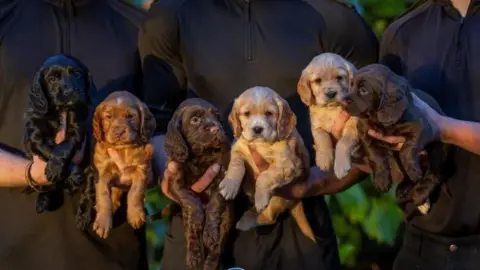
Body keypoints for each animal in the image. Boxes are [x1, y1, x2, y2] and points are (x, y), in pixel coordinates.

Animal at [24, 54, 94, 213]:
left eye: (77, 74)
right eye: (52, 79)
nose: (70, 92)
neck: (60, 110)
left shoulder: (77, 129)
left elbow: (63, 146)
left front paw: (57, 169)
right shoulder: (36, 137)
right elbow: (50, 149)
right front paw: (71, 173)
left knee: (88, 191)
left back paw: (84, 216)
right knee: (48, 187)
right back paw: (42, 202)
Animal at [92, 91, 156, 238]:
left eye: (130, 116)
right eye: (109, 117)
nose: (119, 131)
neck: (122, 149)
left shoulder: (142, 170)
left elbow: (135, 192)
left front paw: (135, 215)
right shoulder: (102, 173)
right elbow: (103, 196)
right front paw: (103, 223)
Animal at [164, 98, 233, 270]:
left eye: (217, 117)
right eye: (195, 120)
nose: (216, 128)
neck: (201, 156)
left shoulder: (221, 178)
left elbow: (213, 206)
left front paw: (209, 233)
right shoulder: (176, 182)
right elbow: (192, 201)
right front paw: (198, 219)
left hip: (228, 215)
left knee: (218, 246)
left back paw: (209, 263)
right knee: (191, 235)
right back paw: (194, 257)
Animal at [218, 86, 316, 243]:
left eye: (269, 113)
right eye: (247, 114)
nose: (257, 129)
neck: (260, 144)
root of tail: (297, 201)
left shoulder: (287, 163)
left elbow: (265, 175)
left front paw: (260, 197)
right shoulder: (238, 148)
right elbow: (236, 165)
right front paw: (229, 185)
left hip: (279, 199)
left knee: (269, 217)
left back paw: (248, 219)